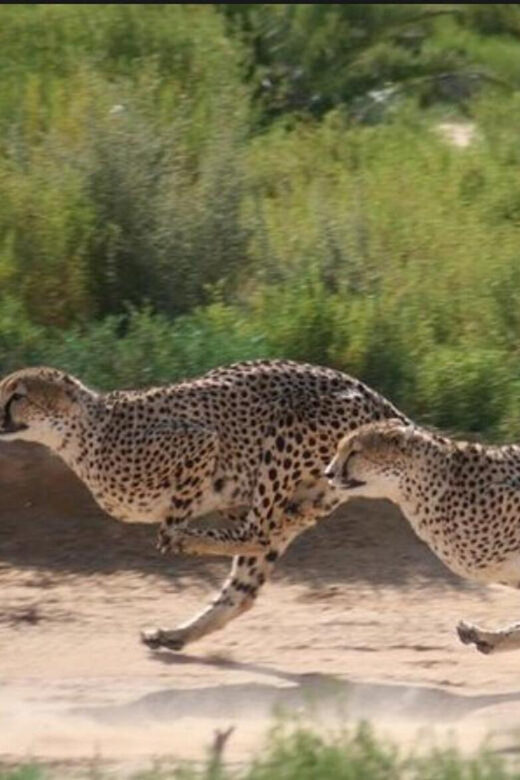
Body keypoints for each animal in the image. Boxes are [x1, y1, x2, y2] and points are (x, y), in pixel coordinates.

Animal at [0, 360, 408, 651]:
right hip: (311, 485)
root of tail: (374, 396)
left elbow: (177, 516)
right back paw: (175, 635)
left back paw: (190, 552)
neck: (84, 434)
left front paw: (175, 534)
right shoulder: (241, 493)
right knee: (246, 581)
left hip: (287, 438)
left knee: (257, 534)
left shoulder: (200, 441)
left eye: (18, 396)